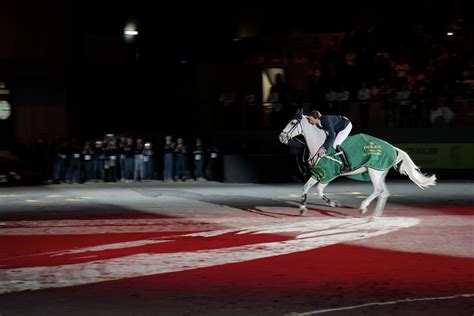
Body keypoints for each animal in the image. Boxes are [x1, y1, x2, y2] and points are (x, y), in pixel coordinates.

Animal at [278, 108, 436, 217]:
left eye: (292, 122)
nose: (281, 137)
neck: (320, 143)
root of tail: (392, 148)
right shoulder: (319, 173)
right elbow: (306, 187)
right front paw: (302, 208)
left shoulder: (328, 174)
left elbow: (318, 190)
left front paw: (334, 203)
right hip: (380, 173)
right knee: (384, 193)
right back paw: (376, 214)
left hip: (374, 172)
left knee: (378, 190)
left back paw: (363, 207)